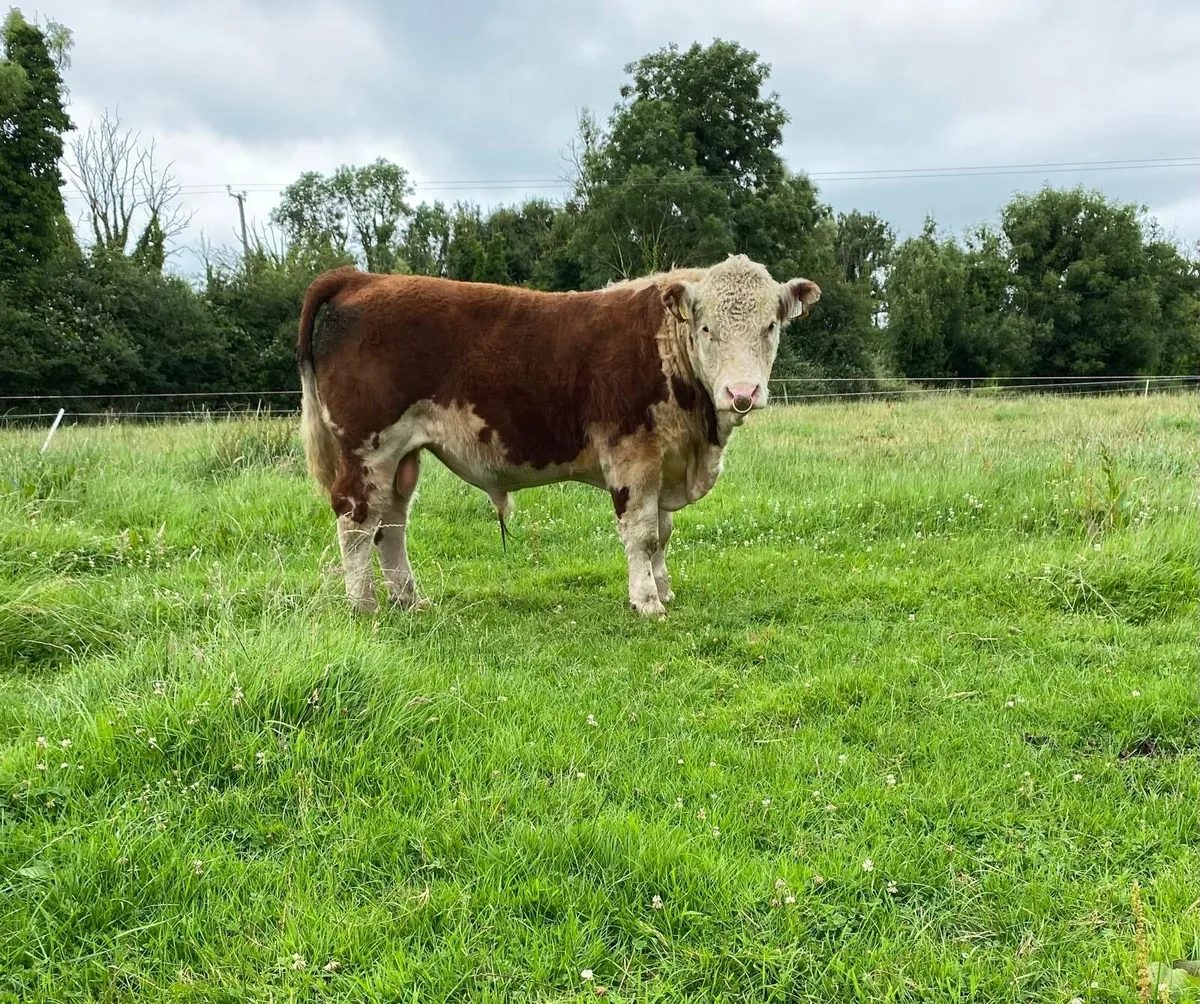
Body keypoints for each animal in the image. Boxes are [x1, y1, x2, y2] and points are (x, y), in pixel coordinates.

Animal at [296, 253, 820, 617]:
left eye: (770, 326)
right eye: (707, 328)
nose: (742, 392)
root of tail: (362, 278)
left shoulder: (664, 459)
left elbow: (663, 532)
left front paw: (664, 587)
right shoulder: (633, 454)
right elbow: (643, 533)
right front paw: (648, 601)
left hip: (402, 456)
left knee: (391, 524)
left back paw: (408, 600)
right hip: (368, 447)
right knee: (356, 520)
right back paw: (364, 605)